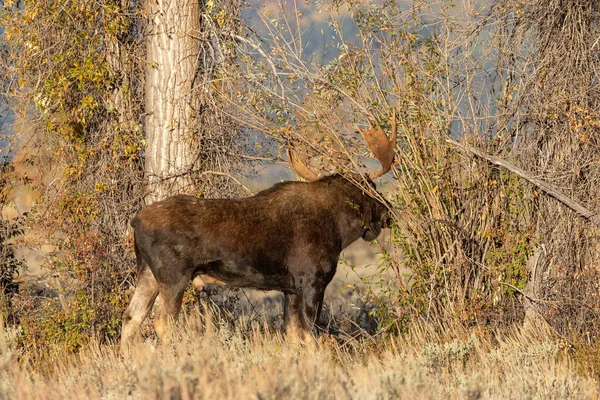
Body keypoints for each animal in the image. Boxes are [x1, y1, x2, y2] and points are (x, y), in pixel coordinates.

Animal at [119, 115, 396, 346]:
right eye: (372, 188)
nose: (389, 212)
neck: (339, 230)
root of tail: (135, 222)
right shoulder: (312, 281)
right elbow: (311, 334)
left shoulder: (290, 289)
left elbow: (293, 335)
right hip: (174, 275)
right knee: (160, 321)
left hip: (147, 272)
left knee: (131, 317)